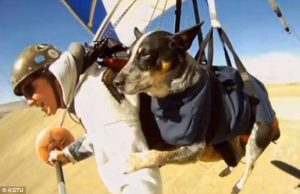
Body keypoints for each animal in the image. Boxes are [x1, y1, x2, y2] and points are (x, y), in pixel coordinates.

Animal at [113, 23, 280, 193]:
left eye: (146, 54)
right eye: (128, 55)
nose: (116, 82)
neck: (176, 94)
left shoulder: (195, 148)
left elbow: (160, 155)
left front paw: (134, 161)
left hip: (257, 137)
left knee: (250, 164)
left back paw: (238, 185)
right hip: (230, 135)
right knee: (237, 154)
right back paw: (227, 170)